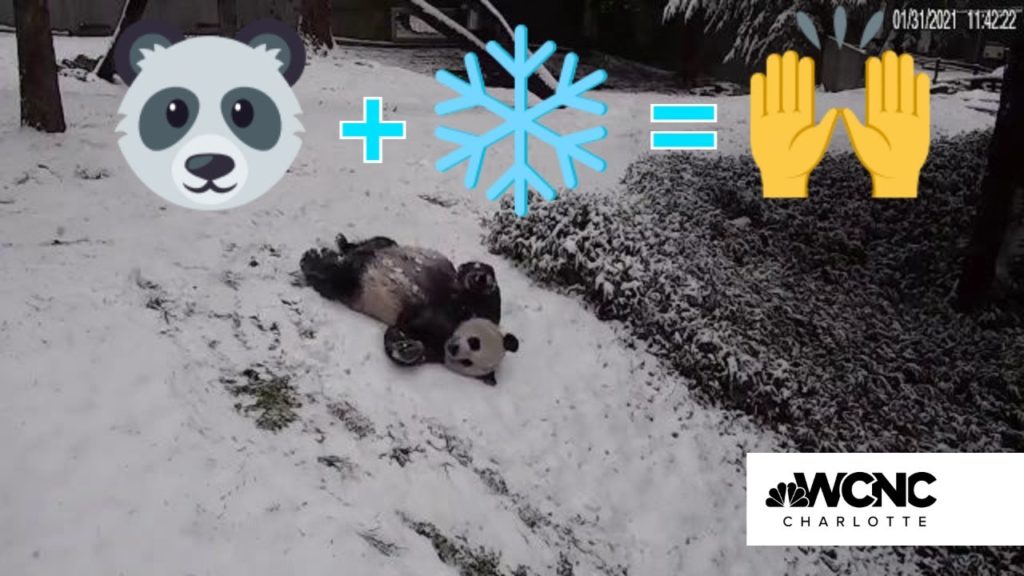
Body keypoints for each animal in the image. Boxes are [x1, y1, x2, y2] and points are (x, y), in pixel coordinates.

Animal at [300, 235, 519, 385]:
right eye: (475, 342)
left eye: (467, 362)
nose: (454, 348)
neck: (452, 327)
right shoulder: (478, 306)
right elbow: (478, 282)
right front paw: (480, 277)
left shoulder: (430, 344)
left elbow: (401, 338)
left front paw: (407, 349)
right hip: (385, 248)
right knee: (378, 242)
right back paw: (338, 246)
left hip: (353, 287)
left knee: (338, 280)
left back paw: (316, 261)